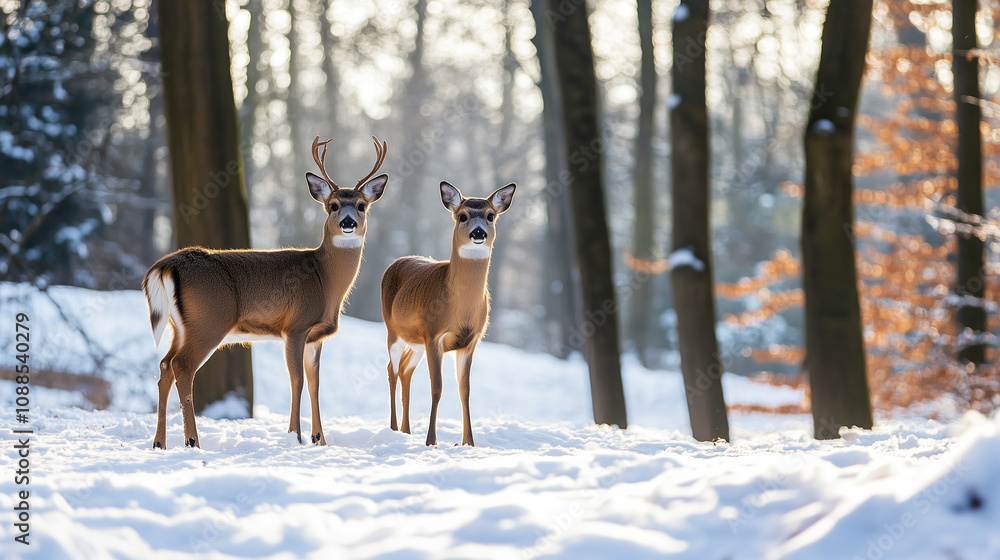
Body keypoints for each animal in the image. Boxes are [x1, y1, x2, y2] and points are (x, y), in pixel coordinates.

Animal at [142, 136, 388, 449]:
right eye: (333, 205)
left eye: (361, 205)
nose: (348, 223)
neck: (325, 279)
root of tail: (166, 264)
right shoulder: (295, 326)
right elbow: (297, 380)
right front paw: (295, 436)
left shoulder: (316, 336)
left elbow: (316, 384)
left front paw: (319, 439)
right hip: (209, 320)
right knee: (181, 366)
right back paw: (192, 441)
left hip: (181, 327)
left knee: (165, 366)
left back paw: (160, 443)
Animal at [381, 181, 516, 446]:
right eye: (462, 216)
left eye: (490, 216)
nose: (478, 233)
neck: (460, 309)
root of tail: (394, 262)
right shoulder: (434, 335)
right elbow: (437, 387)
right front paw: (431, 441)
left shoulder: (470, 341)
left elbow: (465, 390)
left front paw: (469, 443)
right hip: (393, 330)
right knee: (392, 370)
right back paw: (393, 429)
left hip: (416, 342)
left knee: (405, 370)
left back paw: (406, 431)